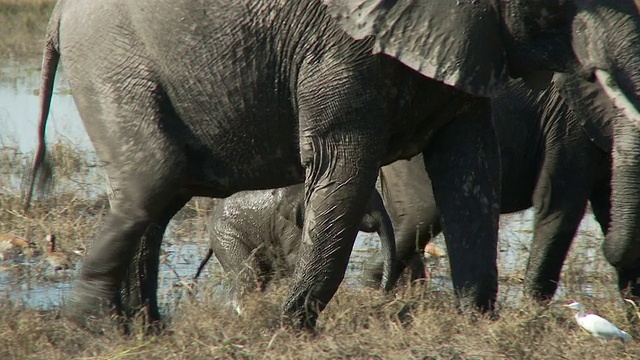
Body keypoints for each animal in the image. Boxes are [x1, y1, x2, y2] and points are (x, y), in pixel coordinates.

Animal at [364, 74, 640, 302]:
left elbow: (608, 208)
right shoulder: (567, 123)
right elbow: (559, 206)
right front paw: (532, 312)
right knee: (421, 219)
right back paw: (377, 291)